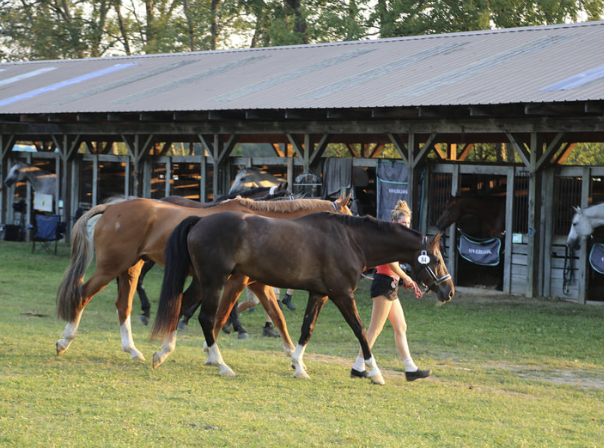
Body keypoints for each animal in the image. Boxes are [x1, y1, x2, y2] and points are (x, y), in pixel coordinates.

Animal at [56, 194, 352, 362]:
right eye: (349, 220)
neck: (263, 226)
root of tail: (111, 208)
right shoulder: (236, 282)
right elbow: (221, 314)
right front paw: (210, 350)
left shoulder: (256, 283)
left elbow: (276, 315)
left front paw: (292, 353)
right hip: (111, 267)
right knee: (82, 295)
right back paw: (65, 340)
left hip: (131, 267)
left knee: (123, 306)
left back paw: (132, 349)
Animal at [153, 212, 456, 384]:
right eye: (437, 258)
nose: (449, 291)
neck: (350, 241)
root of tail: (200, 221)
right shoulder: (342, 295)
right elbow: (360, 330)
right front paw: (374, 372)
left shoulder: (320, 294)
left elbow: (306, 328)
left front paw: (298, 366)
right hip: (215, 281)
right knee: (206, 318)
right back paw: (221, 365)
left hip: (203, 281)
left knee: (179, 305)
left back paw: (162, 352)